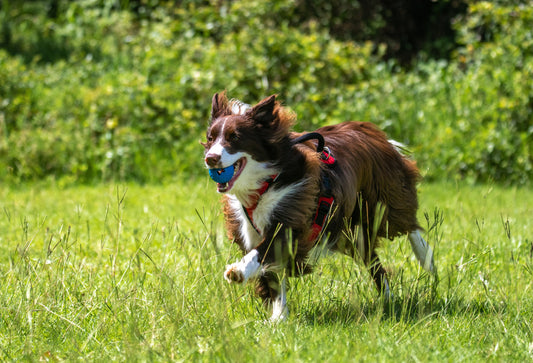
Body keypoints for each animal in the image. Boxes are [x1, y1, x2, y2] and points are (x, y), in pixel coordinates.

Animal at [202, 91, 434, 322]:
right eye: (210, 138)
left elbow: (264, 250)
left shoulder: (293, 213)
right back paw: (388, 300)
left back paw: (426, 257)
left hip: (382, 196)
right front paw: (279, 317)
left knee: (405, 221)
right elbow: (272, 274)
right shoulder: (248, 229)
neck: (262, 185)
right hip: (349, 229)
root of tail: (371, 131)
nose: (210, 158)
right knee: (374, 262)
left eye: (234, 137)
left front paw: (237, 270)